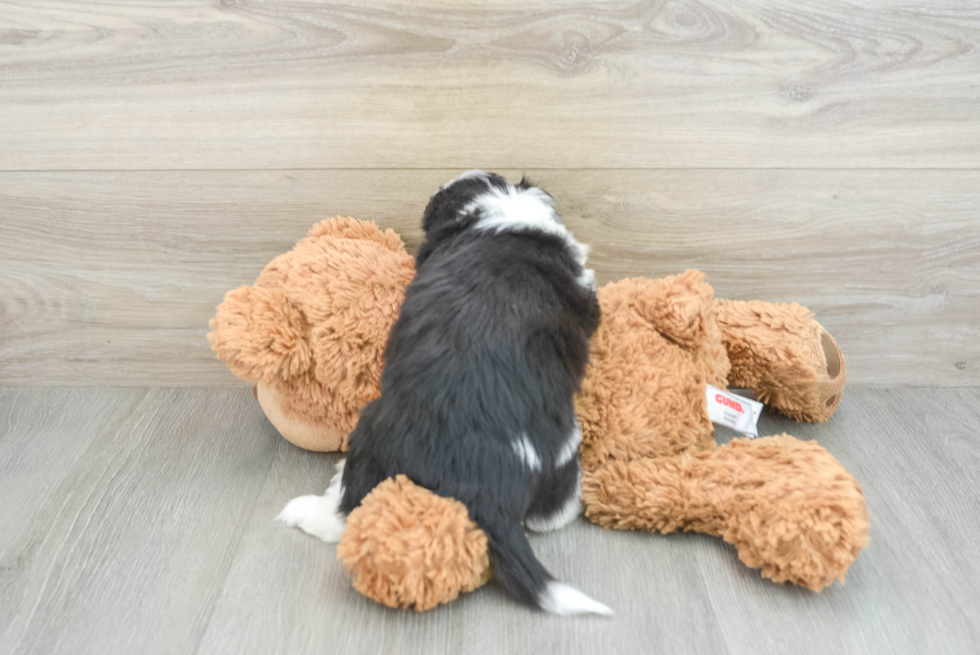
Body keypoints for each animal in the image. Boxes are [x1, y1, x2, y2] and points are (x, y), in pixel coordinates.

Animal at [278, 172, 612, 616]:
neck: (503, 210)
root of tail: (486, 489)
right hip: (561, 446)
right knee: (548, 514)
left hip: (370, 431)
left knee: (346, 510)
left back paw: (308, 509)